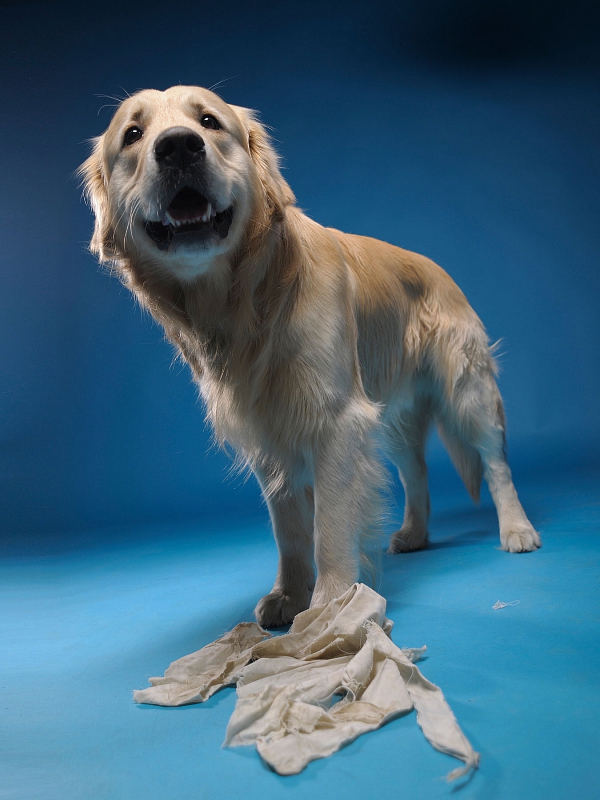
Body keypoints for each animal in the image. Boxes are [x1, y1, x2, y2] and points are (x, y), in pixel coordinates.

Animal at [78, 86, 540, 624]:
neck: (246, 301)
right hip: (393, 416)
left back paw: (517, 529)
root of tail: (437, 267)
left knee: (496, 463)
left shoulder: (337, 421)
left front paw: (331, 605)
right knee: (417, 471)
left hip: (467, 391)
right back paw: (414, 534)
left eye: (209, 122)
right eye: (133, 134)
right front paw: (289, 594)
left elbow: (330, 526)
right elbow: (291, 531)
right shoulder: (269, 433)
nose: (178, 146)